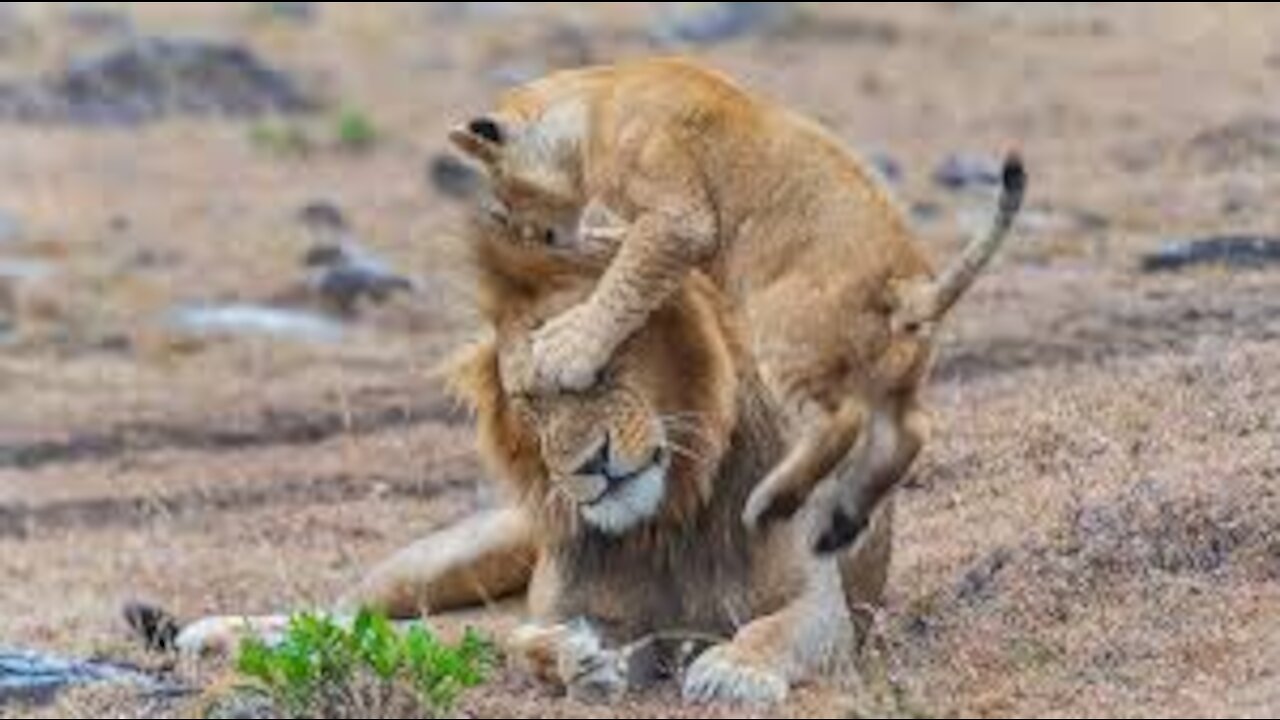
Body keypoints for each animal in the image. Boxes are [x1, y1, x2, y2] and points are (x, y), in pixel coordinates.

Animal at [175, 213, 890, 707]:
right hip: (453, 557)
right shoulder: (559, 608)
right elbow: (529, 640)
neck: (668, 520)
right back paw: (213, 632)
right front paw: (576, 660)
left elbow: (776, 629)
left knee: (388, 631)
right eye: (528, 400)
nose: (588, 466)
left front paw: (733, 672)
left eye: (602, 367)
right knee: (343, 613)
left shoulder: (822, 601)